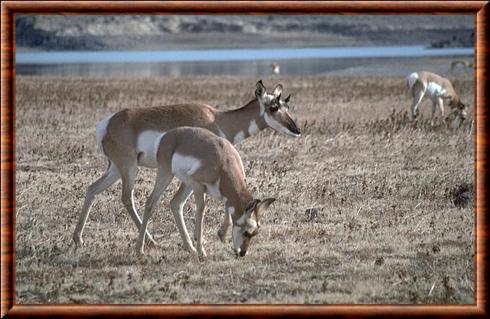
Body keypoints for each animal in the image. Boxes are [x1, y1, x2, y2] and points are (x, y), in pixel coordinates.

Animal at [137, 127, 276, 258]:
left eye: (255, 233)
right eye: (246, 232)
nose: (242, 253)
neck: (223, 161)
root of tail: (166, 136)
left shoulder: (222, 195)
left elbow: (228, 207)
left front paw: (221, 234)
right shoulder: (198, 186)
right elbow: (201, 211)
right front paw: (202, 251)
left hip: (186, 184)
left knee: (175, 203)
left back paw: (190, 248)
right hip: (167, 174)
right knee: (151, 202)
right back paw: (140, 249)